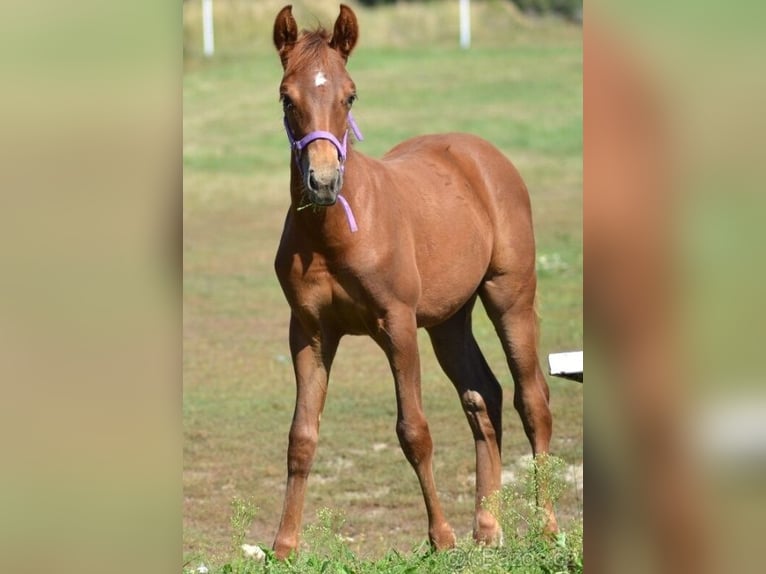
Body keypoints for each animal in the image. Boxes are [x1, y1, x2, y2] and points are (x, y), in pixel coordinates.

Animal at [269, 4, 557, 559]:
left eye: (350, 95)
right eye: (287, 96)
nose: (323, 182)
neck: (333, 234)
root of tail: (480, 153)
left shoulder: (397, 324)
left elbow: (414, 431)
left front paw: (440, 538)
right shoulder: (309, 332)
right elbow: (301, 436)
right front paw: (284, 546)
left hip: (510, 295)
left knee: (532, 399)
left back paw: (548, 528)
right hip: (449, 319)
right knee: (484, 396)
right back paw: (486, 530)